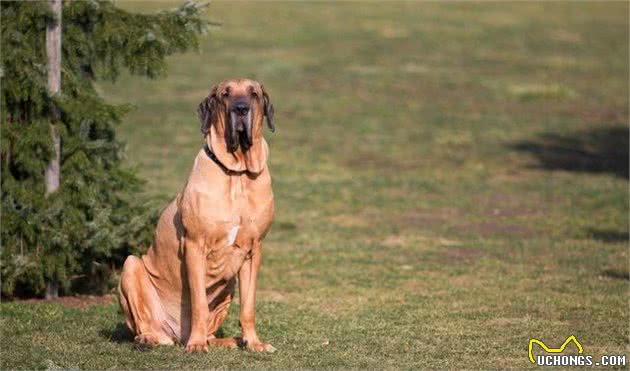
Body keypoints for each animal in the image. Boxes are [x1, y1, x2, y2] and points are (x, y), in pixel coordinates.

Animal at [118, 79, 276, 354]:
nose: (241, 108)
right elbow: (199, 303)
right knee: (146, 325)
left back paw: (229, 340)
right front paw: (197, 344)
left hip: (230, 284)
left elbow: (248, 307)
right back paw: (151, 338)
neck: (237, 174)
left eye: (254, 94)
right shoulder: (195, 245)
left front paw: (254, 342)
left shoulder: (253, 250)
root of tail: (176, 334)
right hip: (131, 266)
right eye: (225, 95)